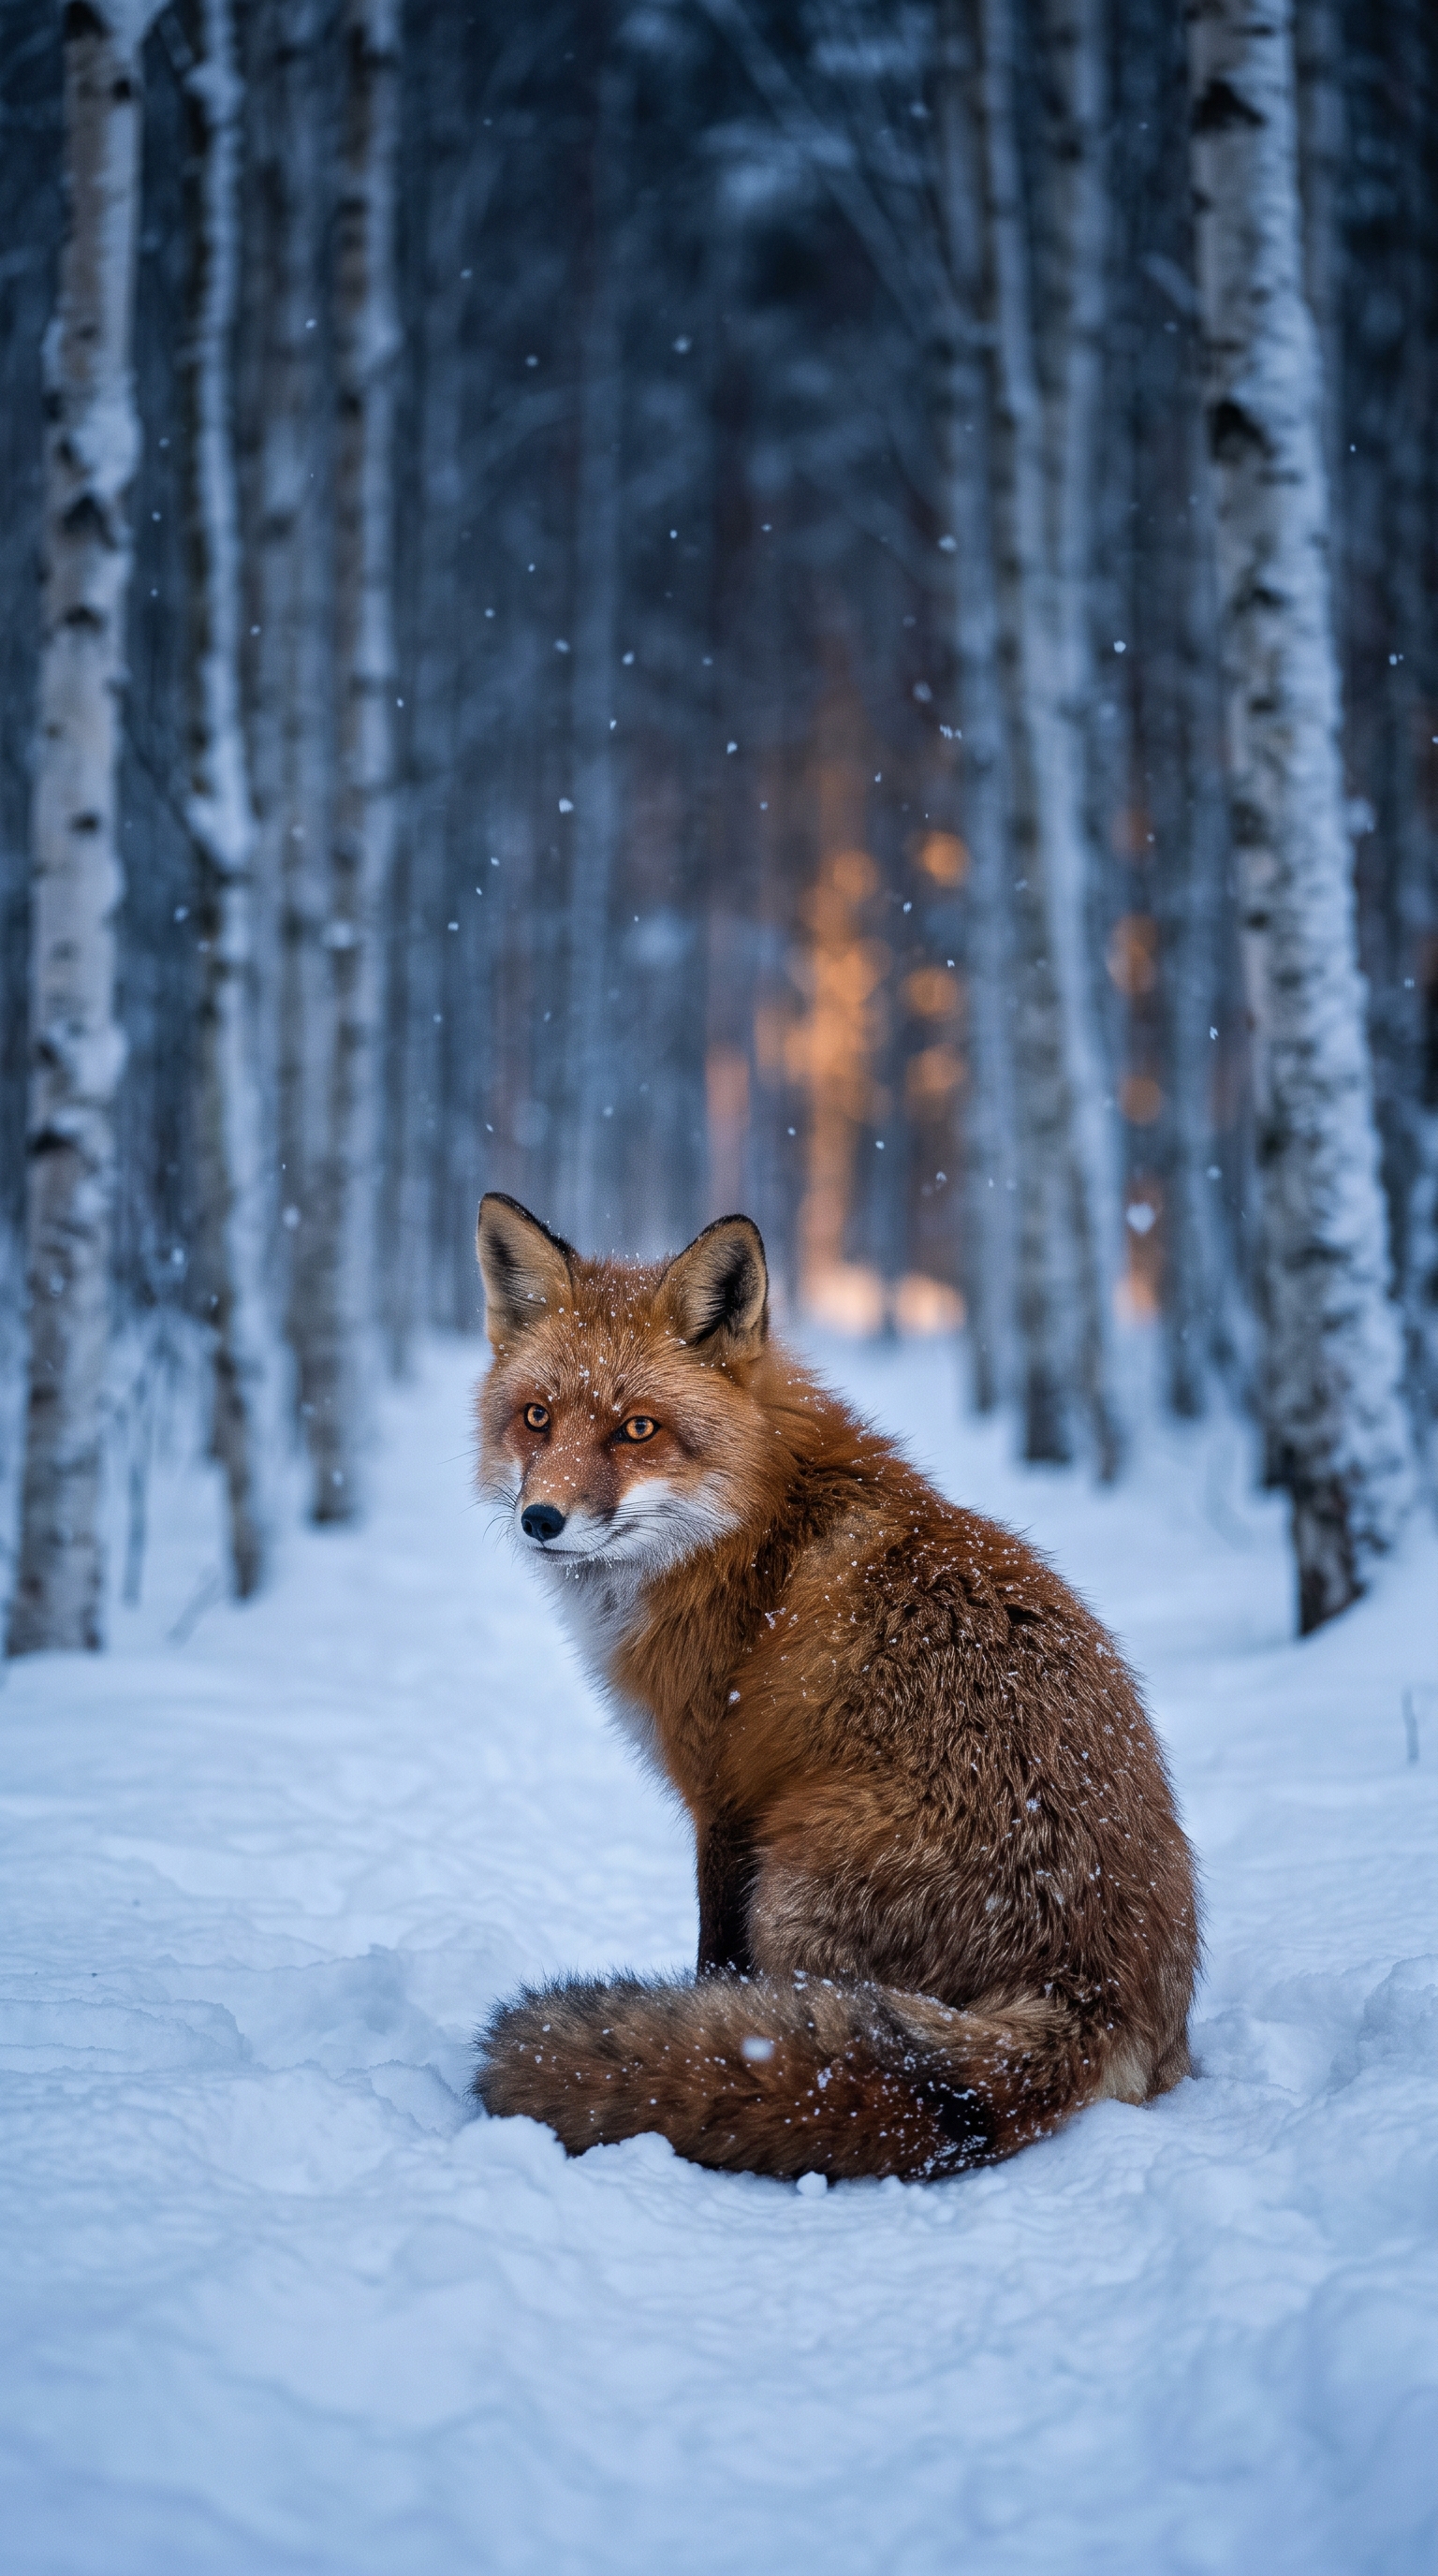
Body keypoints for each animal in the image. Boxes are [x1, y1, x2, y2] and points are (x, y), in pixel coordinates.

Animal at [473, 1192, 1199, 2183]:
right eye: (537, 1416)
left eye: (638, 1429)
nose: (540, 1519)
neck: (748, 1524)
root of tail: (1092, 1997)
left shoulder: (723, 1799)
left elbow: (713, 1968)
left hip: (789, 1881)